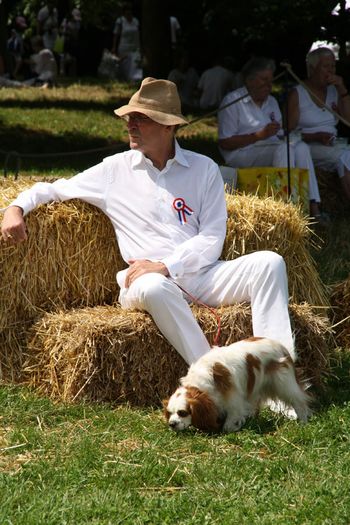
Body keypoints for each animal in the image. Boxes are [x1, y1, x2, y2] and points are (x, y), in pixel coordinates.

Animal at [163, 338, 310, 432]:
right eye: (169, 413)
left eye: (182, 412)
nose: (171, 424)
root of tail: (281, 346)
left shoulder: (233, 398)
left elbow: (232, 418)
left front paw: (230, 427)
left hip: (284, 384)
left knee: (299, 401)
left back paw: (303, 420)